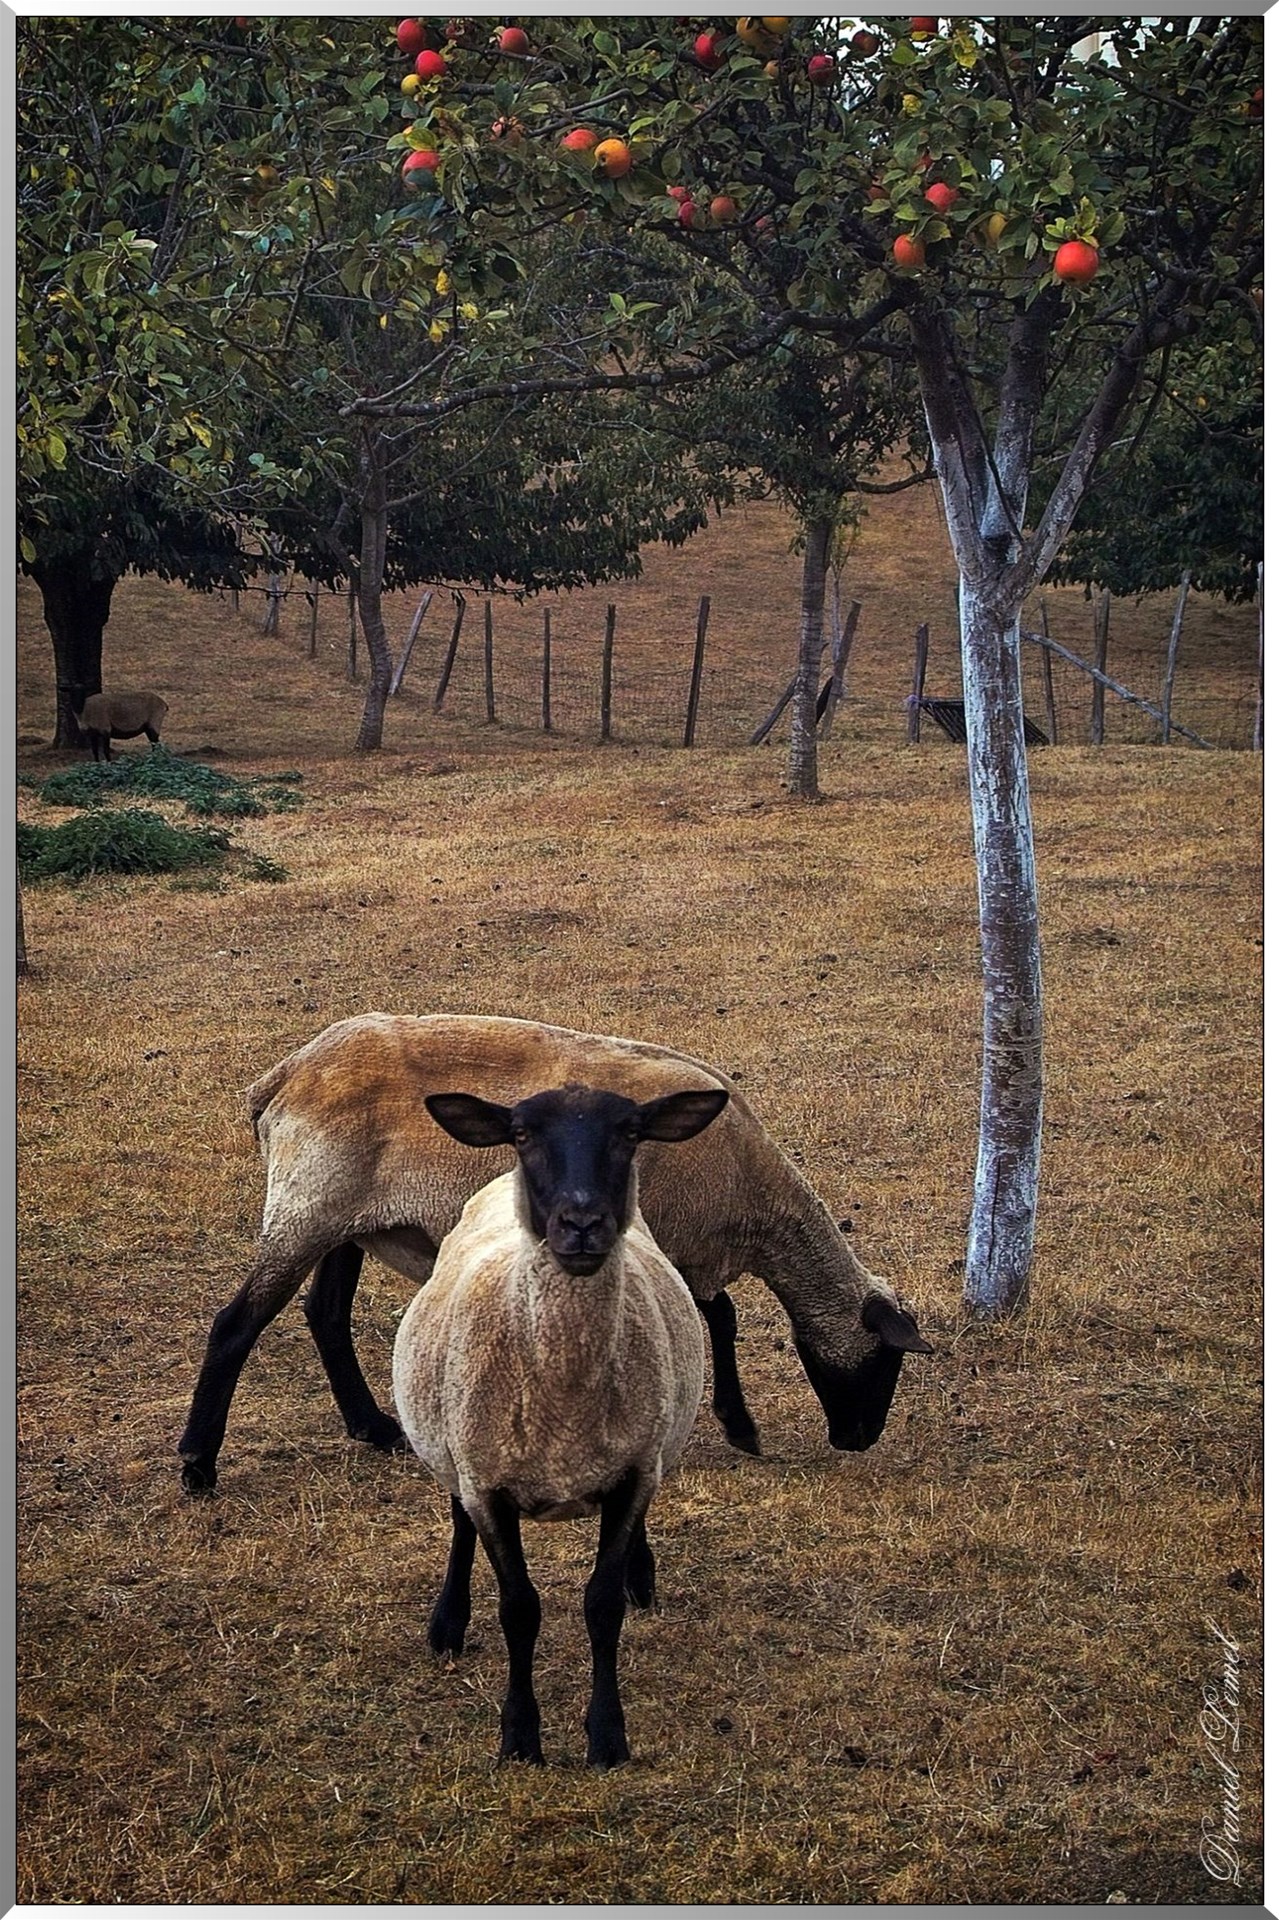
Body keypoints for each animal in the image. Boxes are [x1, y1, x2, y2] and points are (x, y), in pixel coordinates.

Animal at [178, 1012, 932, 1494]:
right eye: (887, 1360)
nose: (858, 1439)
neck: (755, 1204)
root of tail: (283, 1077)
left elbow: (715, 1320)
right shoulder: (670, 1239)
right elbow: (719, 1322)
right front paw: (736, 1426)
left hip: (348, 1219)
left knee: (325, 1316)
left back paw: (374, 1428)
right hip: (307, 1203)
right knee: (237, 1324)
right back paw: (197, 1465)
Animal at [393, 1079, 727, 1767]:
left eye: (631, 1133)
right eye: (522, 1135)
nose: (581, 1225)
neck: (565, 1409)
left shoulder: (632, 1474)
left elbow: (601, 1605)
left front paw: (608, 1737)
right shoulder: (488, 1482)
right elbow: (519, 1609)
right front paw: (520, 1737)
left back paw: (641, 1577)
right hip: (450, 1442)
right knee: (457, 1521)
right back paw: (448, 1623)